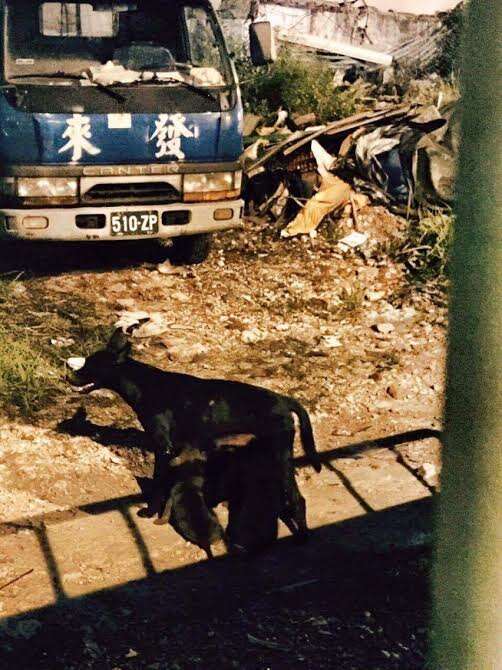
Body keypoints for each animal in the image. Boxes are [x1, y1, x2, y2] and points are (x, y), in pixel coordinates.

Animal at [67, 330, 322, 520]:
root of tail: (283, 399)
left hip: (279, 453)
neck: (144, 385)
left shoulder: (163, 448)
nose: (67, 377)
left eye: (90, 366)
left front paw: (151, 511)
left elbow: (158, 484)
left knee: (297, 499)